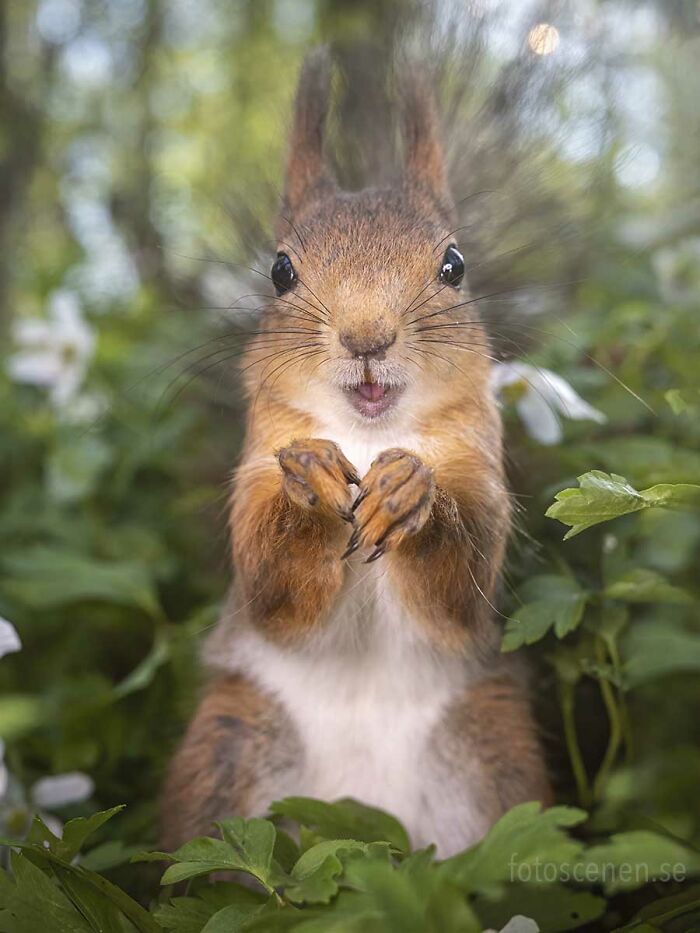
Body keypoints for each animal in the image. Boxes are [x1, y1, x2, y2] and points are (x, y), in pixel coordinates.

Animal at [162, 46, 552, 857]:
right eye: (279, 270)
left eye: (454, 264)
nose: (367, 338)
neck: (368, 433)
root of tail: (366, 832)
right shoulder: (255, 470)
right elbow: (273, 588)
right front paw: (309, 481)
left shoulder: (481, 475)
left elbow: (460, 587)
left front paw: (409, 491)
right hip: (227, 749)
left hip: (493, 756)